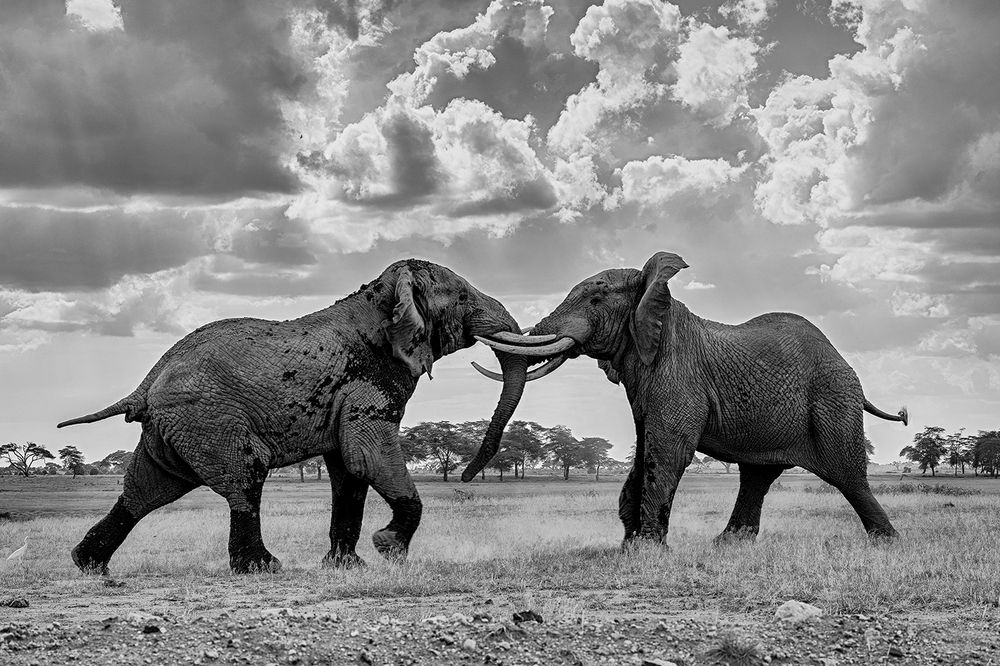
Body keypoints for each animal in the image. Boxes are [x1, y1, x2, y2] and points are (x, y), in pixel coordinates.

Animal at [58, 259, 528, 575]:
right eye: (463, 297)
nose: (466, 476)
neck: (382, 295)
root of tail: (147, 381)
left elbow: (350, 473)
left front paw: (347, 567)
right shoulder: (366, 382)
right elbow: (367, 456)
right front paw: (389, 548)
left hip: (175, 427)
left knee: (148, 488)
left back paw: (89, 565)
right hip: (209, 418)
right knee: (245, 476)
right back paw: (263, 568)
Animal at [474, 251, 908, 545]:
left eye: (595, 301)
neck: (653, 295)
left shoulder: (678, 372)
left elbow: (668, 450)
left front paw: (648, 550)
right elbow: (644, 449)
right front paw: (629, 546)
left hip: (833, 398)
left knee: (847, 475)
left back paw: (887, 542)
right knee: (757, 476)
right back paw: (728, 544)